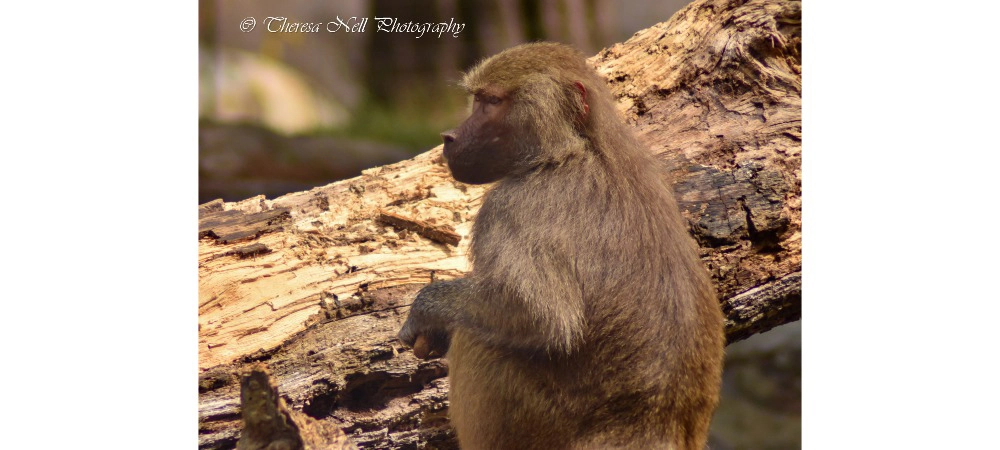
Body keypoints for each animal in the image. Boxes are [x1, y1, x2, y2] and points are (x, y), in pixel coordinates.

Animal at [398, 42, 725, 450]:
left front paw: (427, 311)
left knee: (477, 340)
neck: (577, 148)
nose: (449, 137)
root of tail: (655, 429)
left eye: (490, 101)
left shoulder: (509, 207)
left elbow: (541, 315)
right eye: (477, 100)